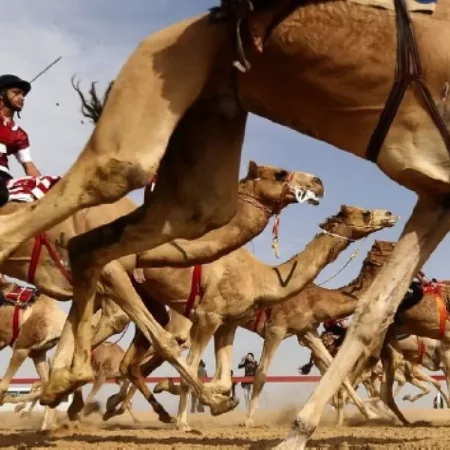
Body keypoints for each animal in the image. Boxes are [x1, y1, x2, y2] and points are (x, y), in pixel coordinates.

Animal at [106, 204, 398, 428]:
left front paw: (371, 413)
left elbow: (339, 372)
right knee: (155, 356)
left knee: (140, 362)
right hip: (183, 321)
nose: (390, 215)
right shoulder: (271, 328)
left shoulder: (305, 331)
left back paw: (124, 406)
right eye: (365, 213)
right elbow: (257, 376)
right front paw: (244, 420)